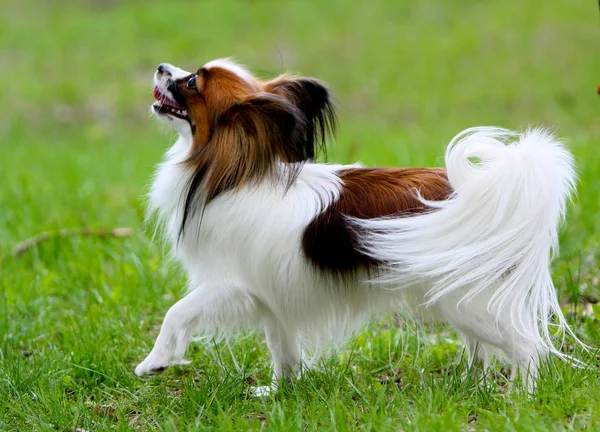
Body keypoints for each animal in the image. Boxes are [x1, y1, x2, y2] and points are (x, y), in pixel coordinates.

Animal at [135, 57, 580, 392]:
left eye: (192, 82)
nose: (160, 66)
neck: (230, 174)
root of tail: (491, 188)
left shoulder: (230, 286)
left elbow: (177, 312)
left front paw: (155, 362)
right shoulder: (274, 300)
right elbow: (284, 351)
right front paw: (280, 393)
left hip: (472, 304)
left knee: (527, 346)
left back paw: (520, 398)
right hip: (458, 297)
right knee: (482, 348)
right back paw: (476, 385)